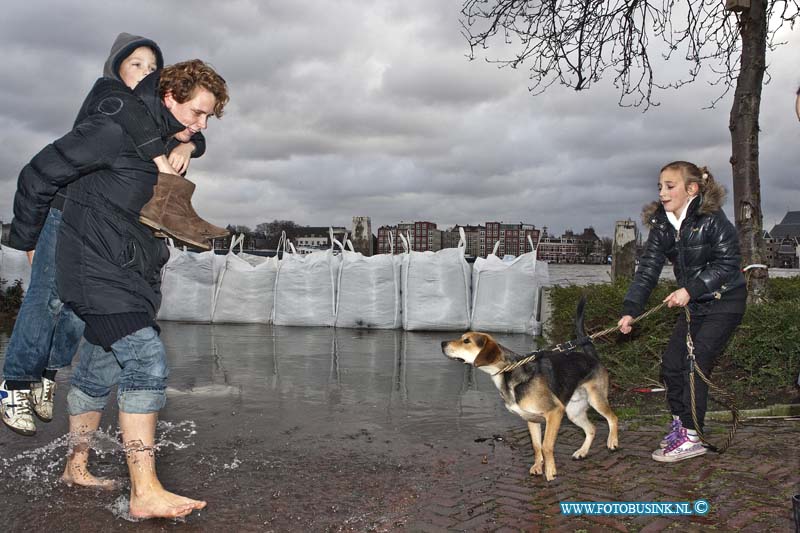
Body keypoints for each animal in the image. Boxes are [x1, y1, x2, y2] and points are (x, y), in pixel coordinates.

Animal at [440, 298, 616, 480]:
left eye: (466, 341)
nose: (442, 343)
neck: (509, 371)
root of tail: (592, 357)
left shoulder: (555, 412)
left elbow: (546, 446)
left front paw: (550, 471)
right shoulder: (532, 419)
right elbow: (537, 446)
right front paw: (538, 467)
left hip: (596, 400)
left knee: (613, 418)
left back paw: (612, 441)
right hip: (573, 412)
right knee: (592, 429)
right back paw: (582, 452)